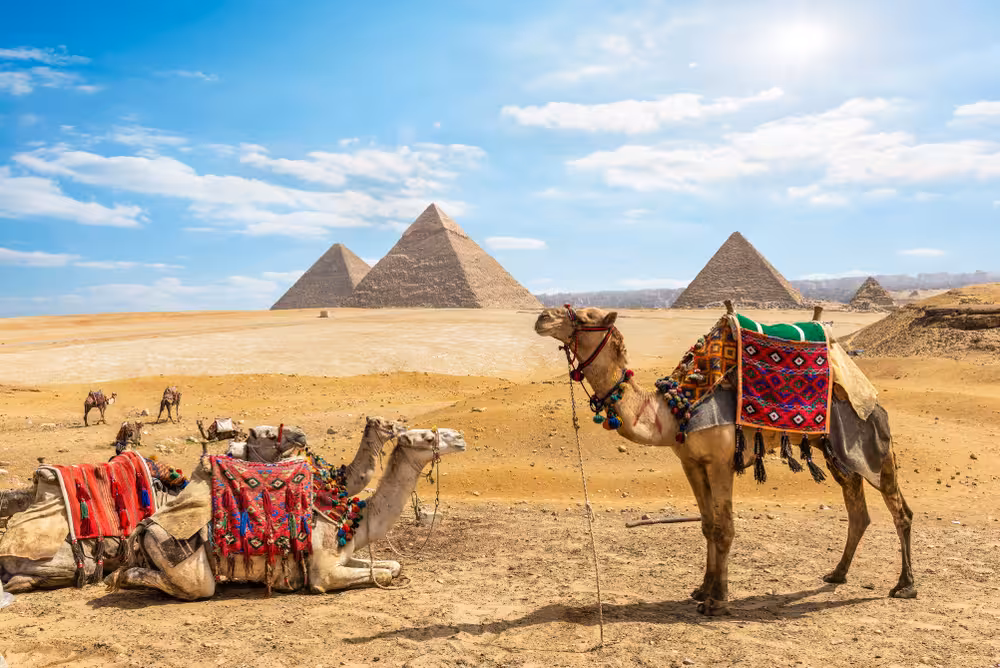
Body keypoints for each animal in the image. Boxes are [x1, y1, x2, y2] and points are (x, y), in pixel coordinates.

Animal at [109, 427, 466, 600]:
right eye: (426, 436)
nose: (460, 438)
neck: (352, 518)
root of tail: (146, 526)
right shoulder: (324, 571)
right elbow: (376, 574)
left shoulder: (343, 554)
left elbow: (392, 566)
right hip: (184, 560)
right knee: (194, 586)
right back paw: (121, 578)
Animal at [535, 306, 915, 615]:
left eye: (586, 316)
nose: (542, 317)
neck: (673, 409)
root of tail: (868, 390)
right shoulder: (691, 462)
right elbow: (707, 525)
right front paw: (702, 589)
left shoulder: (720, 462)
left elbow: (725, 528)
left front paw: (717, 601)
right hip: (837, 451)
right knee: (857, 510)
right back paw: (837, 573)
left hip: (872, 441)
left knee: (900, 510)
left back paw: (905, 585)